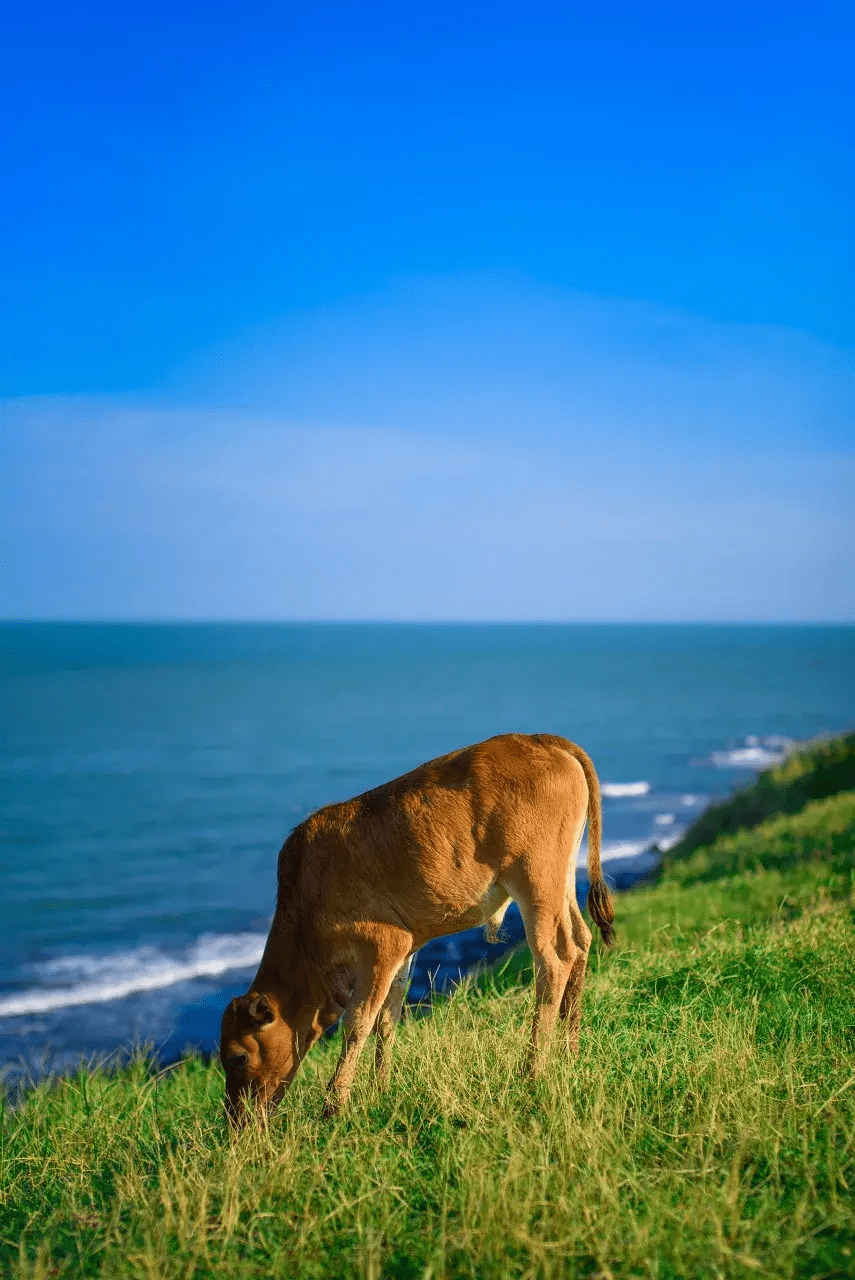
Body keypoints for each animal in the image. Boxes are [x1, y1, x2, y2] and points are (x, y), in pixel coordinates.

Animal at [217, 732, 611, 1121]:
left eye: (237, 1057)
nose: (236, 1120)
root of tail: (541, 739)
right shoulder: (403, 952)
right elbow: (387, 1018)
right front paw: (380, 1088)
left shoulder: (382, 944)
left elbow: (358, 1023)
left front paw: (333, 1106)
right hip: (561, 880)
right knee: (581, 941)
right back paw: (570, 1054)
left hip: (535, 882)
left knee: (554, 961)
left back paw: (532, 1071)